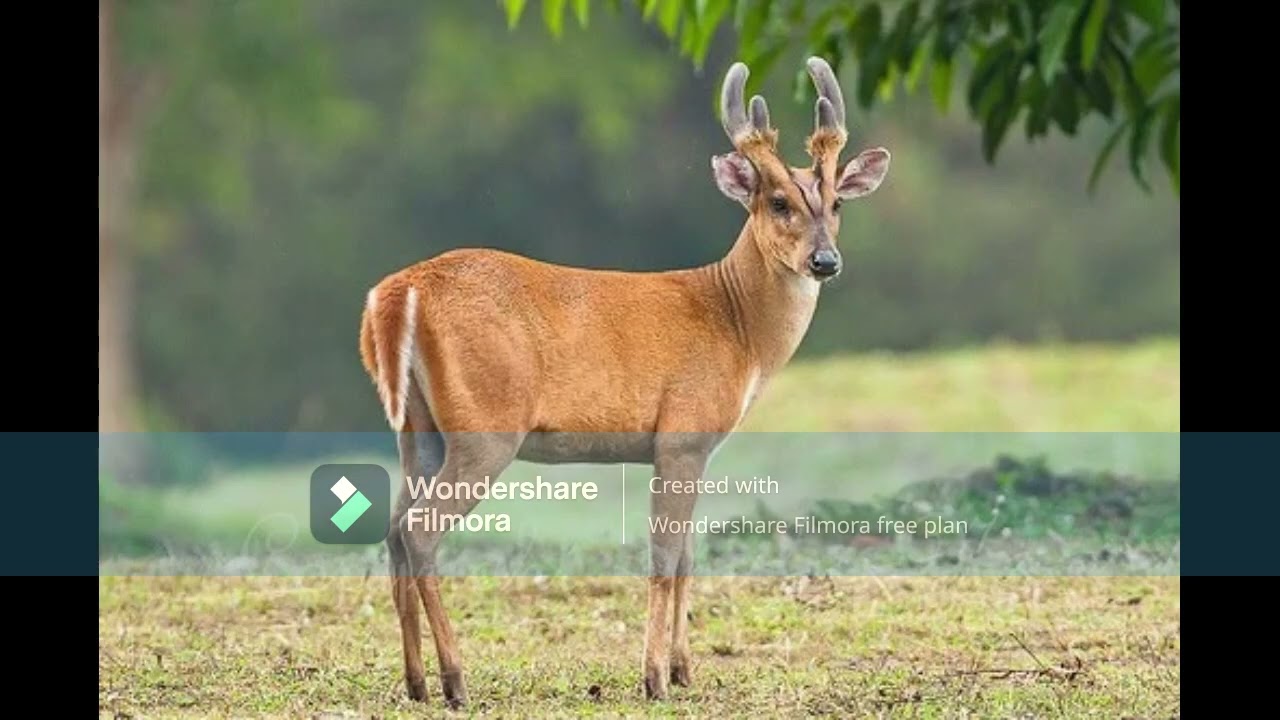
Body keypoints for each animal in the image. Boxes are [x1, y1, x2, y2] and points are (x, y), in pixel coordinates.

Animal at [357, 56, 891, 708]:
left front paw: (685, 671)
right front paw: (654, 678)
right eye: (777, 202)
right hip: (486, 426)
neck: (734, 321)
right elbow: (663, 556)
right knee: (419, 531)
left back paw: (416, 684)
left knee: (393, 531)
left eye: (837, 203)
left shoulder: (696, 448)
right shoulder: (682, 434)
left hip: (418, 428)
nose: (825, 261)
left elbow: (687, 555)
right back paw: (457, 682)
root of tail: (397, 294)